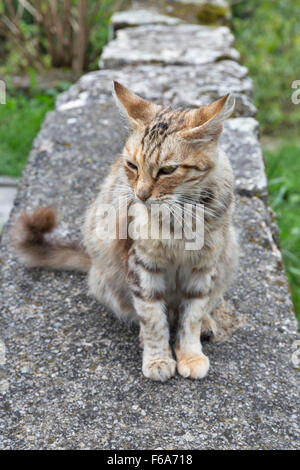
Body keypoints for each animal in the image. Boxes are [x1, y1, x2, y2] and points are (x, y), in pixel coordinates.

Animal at [12, 81, 239, 382]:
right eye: (132, 166)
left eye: (167, 170)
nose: (141, 195)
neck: (180, 217)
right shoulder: (142, 264)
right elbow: (153, 319)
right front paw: (158, 359)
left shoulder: (204, 266)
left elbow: (192, 316)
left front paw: (190, 354)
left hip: (228, 254)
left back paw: (206, 324)